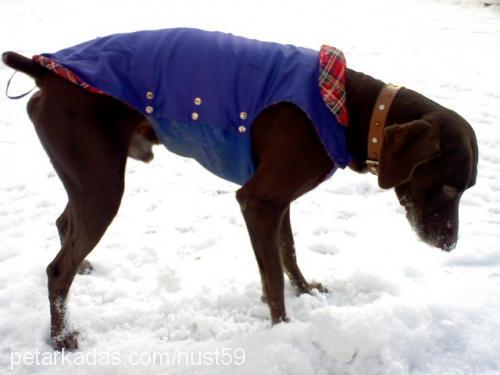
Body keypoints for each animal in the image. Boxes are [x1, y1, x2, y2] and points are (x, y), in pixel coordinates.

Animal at [0, 39, 476, 352]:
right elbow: (272, 278)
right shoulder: (258, 201)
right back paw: (61, 338)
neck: (346, 107)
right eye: (449, 185)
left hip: (88, 180)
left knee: (65, 225)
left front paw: (306, 290)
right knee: (57, 269)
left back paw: (84, 267)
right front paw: (283, 331)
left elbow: (288, 253)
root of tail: (47, 74)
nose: (450, 245)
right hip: (102, 186)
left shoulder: (279, 202)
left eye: (463, 188)